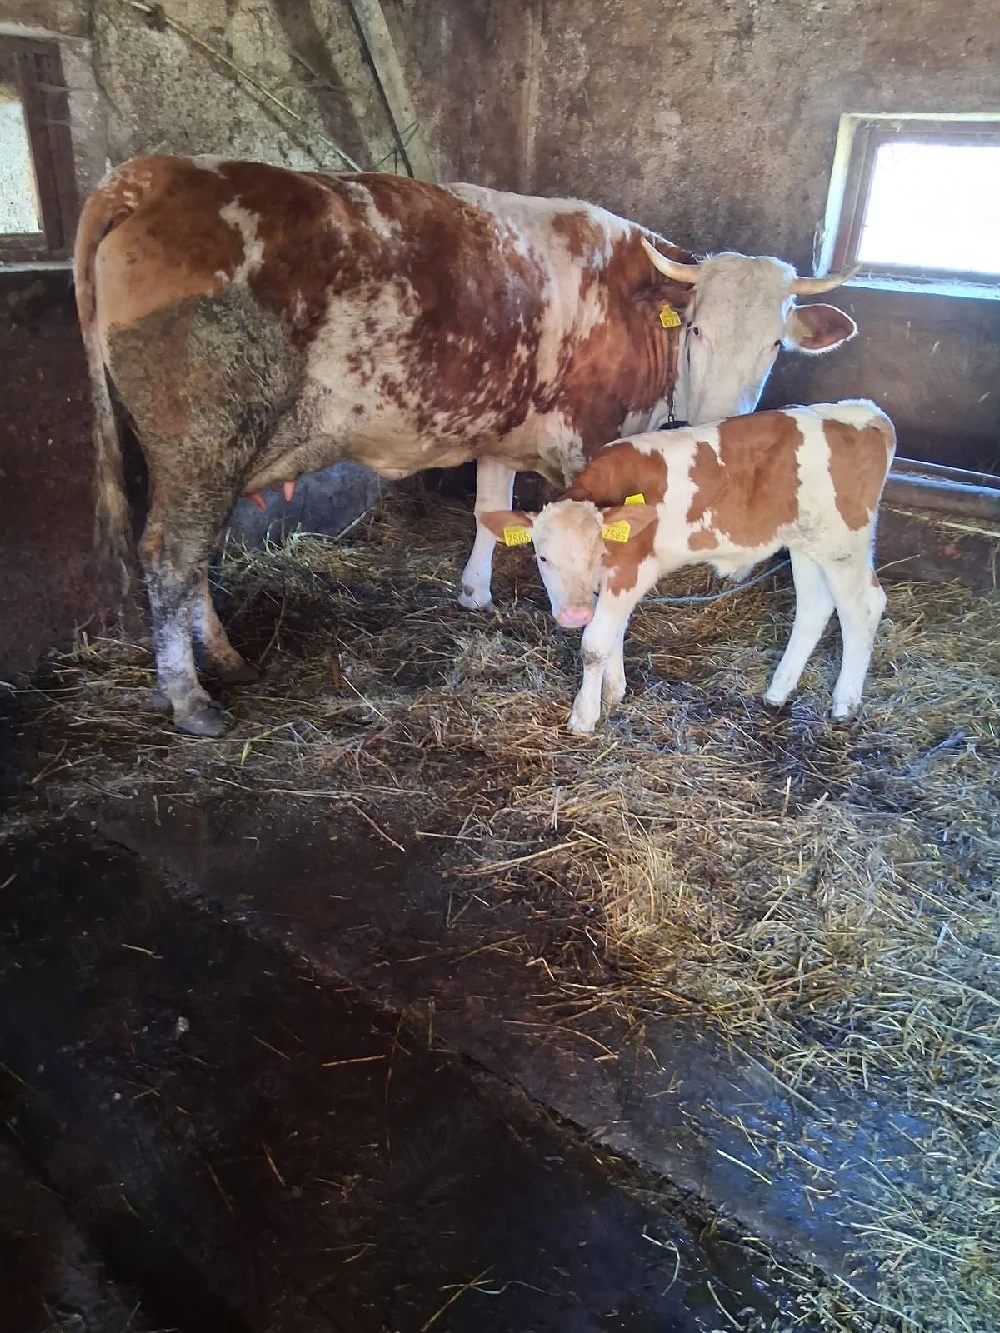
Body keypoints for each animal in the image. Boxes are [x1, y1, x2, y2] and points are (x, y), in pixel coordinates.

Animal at [480, 401, 896, 734]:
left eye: (596, 551)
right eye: (542, 556)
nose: (573, 613)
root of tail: (864, 413)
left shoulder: (631, 570)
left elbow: (595, 643)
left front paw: (584, 716)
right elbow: (615, 632)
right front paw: (614, 692)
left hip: (844, 542)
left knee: (863, 607)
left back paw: (844, 703)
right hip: (806, 544)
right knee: (814, 607)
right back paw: (778, 691)